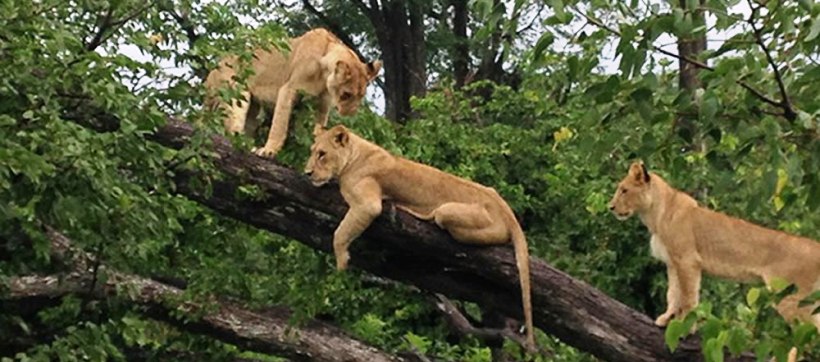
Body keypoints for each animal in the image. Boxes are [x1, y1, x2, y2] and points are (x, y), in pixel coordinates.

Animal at [205, 27, 384, 158]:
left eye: (361, 96)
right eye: (346, 94)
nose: (350, 114)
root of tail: (212, 71)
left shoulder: (322, 104)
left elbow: (318, 130)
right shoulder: (289, 89)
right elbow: (279, 123)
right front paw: (269, 150)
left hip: (253, 107)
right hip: (235, 93)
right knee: (230, 129)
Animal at [302, 125, 540, 350]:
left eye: (322, 154)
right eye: (312, 152)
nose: (307, 173)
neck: (355, 154)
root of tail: (508, 212)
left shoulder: (368, 205)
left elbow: (340, 232)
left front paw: (341, 262)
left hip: (448, 212)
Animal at [608, 161, 820, 334]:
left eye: (624, 190)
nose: (610, 207)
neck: (655, 215)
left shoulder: (688, 260)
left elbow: (688, 297)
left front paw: (685, 326)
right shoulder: (673, 263)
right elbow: (673, 293)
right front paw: (666, 319)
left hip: (791, 299)